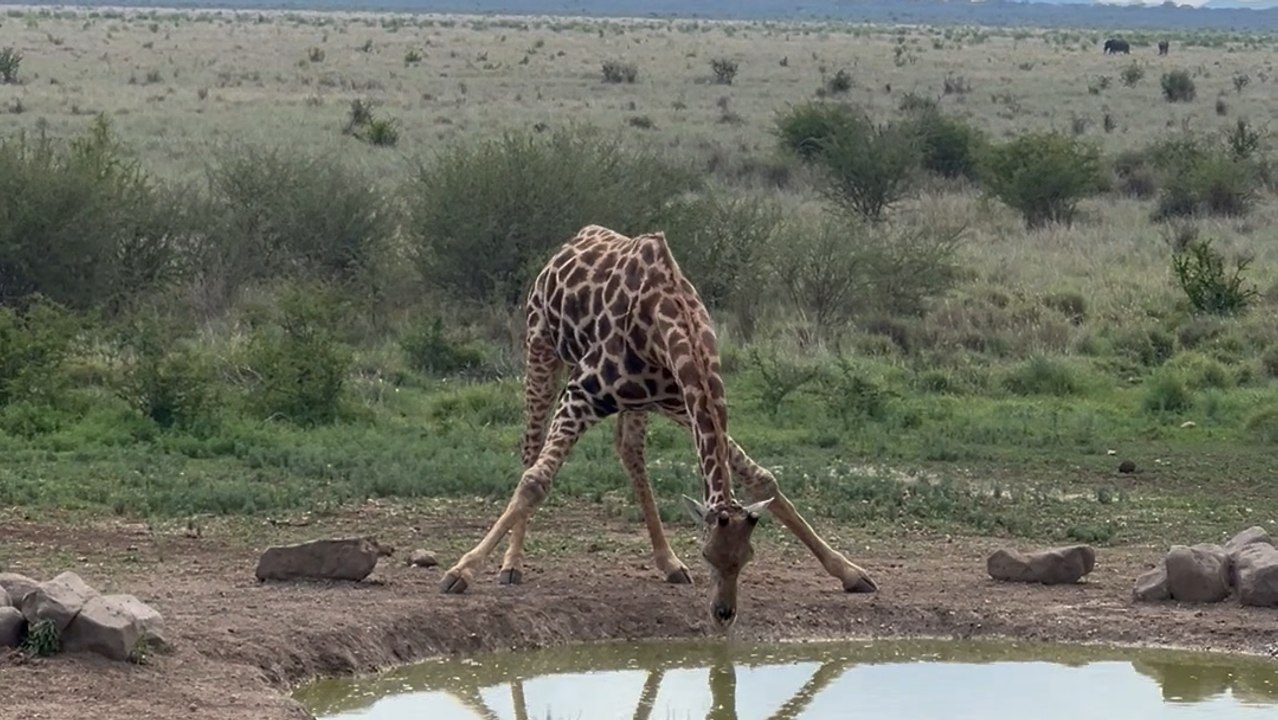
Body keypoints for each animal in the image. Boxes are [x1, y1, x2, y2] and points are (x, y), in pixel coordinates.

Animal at [438, 224, 877, 626]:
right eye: (707, 555)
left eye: (748, 557)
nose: (723, 614)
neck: (669, 321)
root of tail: (571, 241)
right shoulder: (581, 394)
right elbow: (535, 482)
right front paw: (460, 571)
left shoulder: (683, 402)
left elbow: (762, 478)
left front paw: (850, 572)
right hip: (541, 349)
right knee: (531, 449)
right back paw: (511, 565)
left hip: (641, 404)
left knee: (629, 450)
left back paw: (668, 563)